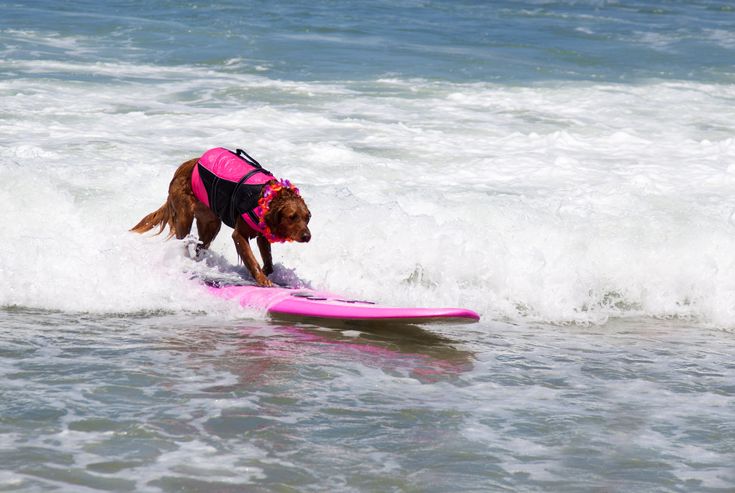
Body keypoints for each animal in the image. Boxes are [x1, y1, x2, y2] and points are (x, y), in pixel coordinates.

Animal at [132, 147, 310, 284]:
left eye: (308, 217)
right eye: (292, 216)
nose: (307, 236)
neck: (266, 197)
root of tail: (181, 168)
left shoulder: (263, 233)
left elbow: (268, 260)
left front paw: (265, 272)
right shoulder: (239, 235)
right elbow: (251, 259)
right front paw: (262, 280)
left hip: (211, 223)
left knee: (201, 245)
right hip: (184, 216)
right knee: (183, 240)